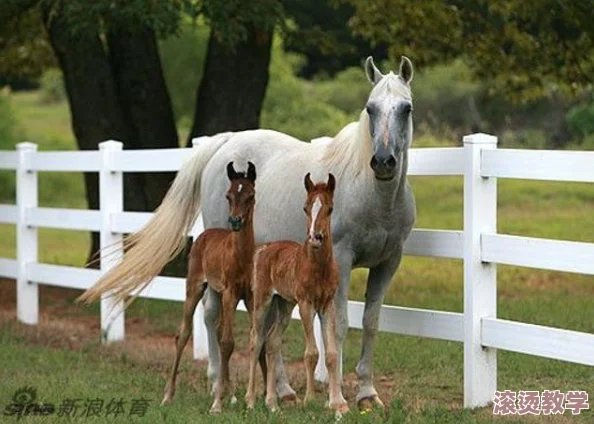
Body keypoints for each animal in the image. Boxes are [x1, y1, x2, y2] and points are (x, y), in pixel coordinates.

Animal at [162, 161, 264, 412]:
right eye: (228, 195)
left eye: (250, 195)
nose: (235, 221)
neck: (241, 256)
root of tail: (203, 234)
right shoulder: (230, 293)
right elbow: (228, 343)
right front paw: (217, 404)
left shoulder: (249, 297)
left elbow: (255, 341)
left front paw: (248, 399)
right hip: (196, 287)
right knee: (183, 333)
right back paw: (168, 395)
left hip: (216, 292)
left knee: (216, 331)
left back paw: (230, 393)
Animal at [244, 173, 346, 418]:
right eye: (305, 207)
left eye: (330, 208)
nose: (315, 237)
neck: (319, 268)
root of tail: (264, 248)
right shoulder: (306, 304)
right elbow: (311, 352)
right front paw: (310, 400)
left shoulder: (327, 305)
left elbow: (331, 354)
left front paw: (336, 403)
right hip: (263, 301)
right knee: (255, 340)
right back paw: (250, 400)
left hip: (284, 305)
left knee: (272, 341)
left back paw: (272, 403)